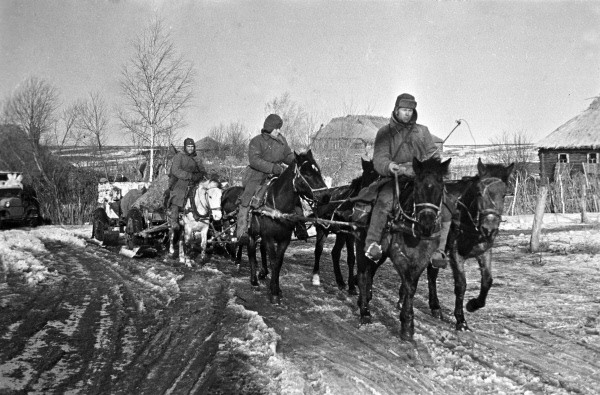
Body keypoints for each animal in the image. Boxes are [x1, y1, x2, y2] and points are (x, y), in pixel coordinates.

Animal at [246, 150, 326, 304]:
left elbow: (278, 262)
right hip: (252, 234)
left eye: (318, 171)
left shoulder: (284, 239)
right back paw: (254, 280)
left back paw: (263, 273)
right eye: (307, 174)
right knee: (251, 252)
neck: (278, 207)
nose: (326, 196)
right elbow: (273, 261)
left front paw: (277, 289)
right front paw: (273, 293)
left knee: (261, 250)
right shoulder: (269, 237)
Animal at [312, 158, 378, 294]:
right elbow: (351, 258)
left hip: (340, 233)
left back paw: (340, 282)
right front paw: (352, 286)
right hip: (323, 229)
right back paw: (316, 276)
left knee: (335, 253)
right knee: (318, 251)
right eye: (367, 174)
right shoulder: (350, 234)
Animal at [352, 156, 450, 342]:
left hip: (381, 253)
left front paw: (407, 321)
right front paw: (407, 324)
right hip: (362, 246)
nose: (427, 223)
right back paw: (365, 312)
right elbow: (409, 285)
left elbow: (412, 285)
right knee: (362, 276)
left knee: (370, 272)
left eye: (441, 186)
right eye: (417, 186)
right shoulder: (398, 254)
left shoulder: (423, 258)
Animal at [424, 158, 512, 332]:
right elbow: (461, 285)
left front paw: (473, 304)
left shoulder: (484, 251)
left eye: (504, 194)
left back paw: (435, 307)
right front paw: (461, 320)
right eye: (479, 193)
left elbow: (487, 281)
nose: (489, 229)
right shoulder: (455, 254)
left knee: (432, 272)